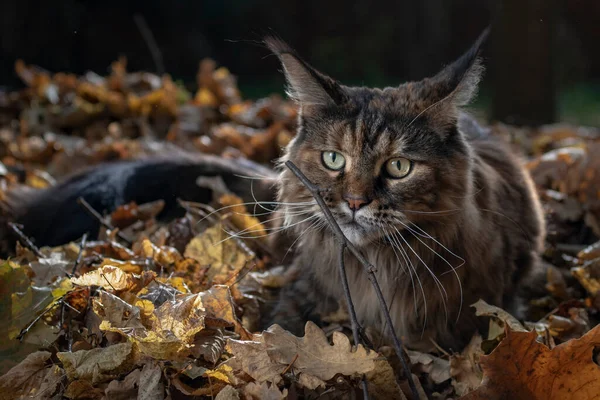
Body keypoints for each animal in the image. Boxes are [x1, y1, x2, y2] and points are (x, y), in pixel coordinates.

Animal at [264, 28, 548, 352]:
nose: (354, 201)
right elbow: (280, 328)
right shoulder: (299, 289)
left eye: (399, 167)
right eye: (333, 159)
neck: (376, 263)